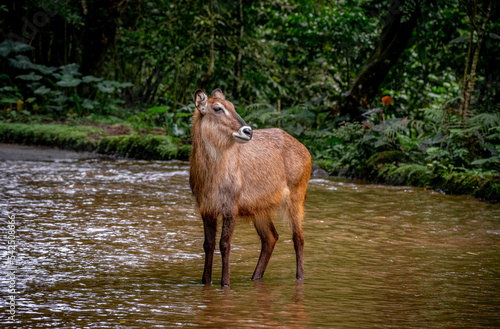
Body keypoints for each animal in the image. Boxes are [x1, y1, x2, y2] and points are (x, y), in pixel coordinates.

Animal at [189, 88, 310, 284]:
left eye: (233, 106)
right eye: (218, 108)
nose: (248, 131)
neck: (211, 178)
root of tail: (306, 150)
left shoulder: (231, 206)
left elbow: (225, 244)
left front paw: (225, 283)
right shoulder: (206, 208)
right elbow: (208, 244)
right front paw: (206, 281)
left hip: (296, 197)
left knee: (298, 238)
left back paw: (299, 277)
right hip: (259, 208)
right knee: (271, 237)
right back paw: (256, 277)